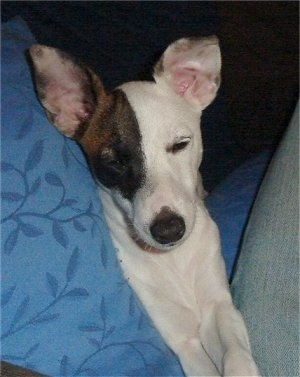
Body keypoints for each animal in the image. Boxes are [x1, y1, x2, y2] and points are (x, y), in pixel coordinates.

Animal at [28, 36, 260, 376]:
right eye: (114, 162)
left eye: (180, 144)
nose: (168, 230)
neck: (174, 260)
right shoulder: (183, 341)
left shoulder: (219, 307)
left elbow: (236, 354)